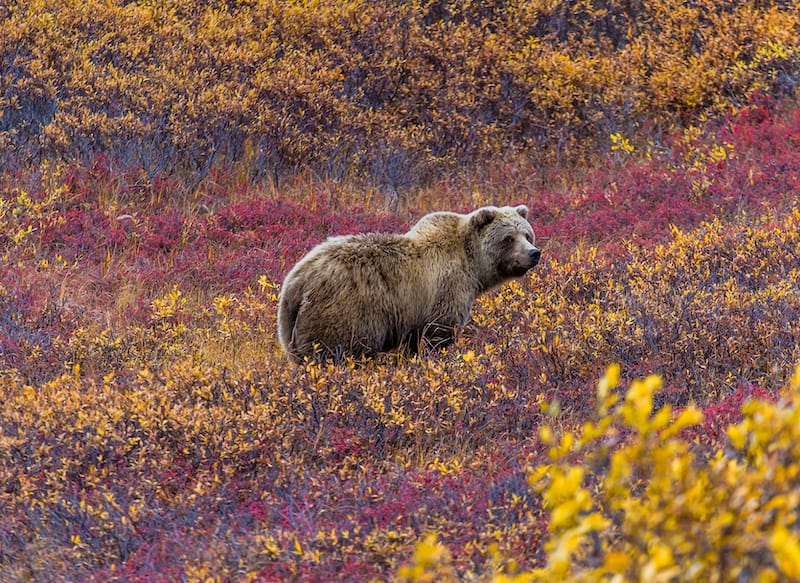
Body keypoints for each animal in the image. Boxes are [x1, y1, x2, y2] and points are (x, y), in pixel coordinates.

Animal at [276, 205, 544, 360]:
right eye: (508, 238)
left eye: (527, 234)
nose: (534, 253)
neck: (472, 264)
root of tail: (296, 282)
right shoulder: (446, 290)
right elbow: (439, 333)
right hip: (345, 313)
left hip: (290, 329)